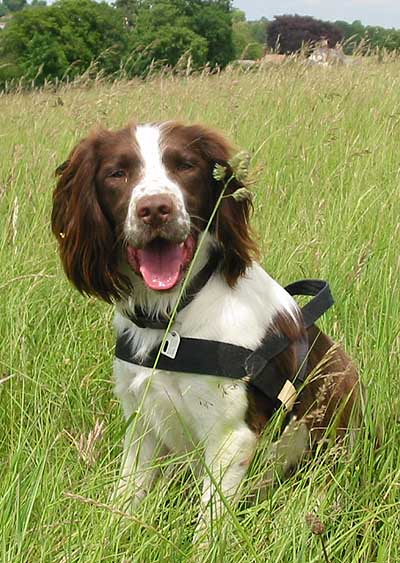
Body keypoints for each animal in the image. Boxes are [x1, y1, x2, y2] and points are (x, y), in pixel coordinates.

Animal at [51, 122, 360, 540]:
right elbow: (126, 498)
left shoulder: (231, 438)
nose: (155, 210)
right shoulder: (141, 421)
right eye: (117, 173)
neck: (171, 317)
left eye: (185, 166)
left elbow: (208, 530)